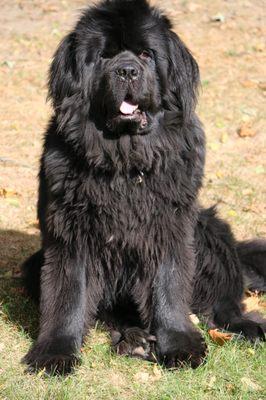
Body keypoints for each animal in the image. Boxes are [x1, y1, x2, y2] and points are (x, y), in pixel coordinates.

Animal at [21, 0, 264, 376]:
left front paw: (179, 344)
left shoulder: (170, 226)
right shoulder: (69, 233)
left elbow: (169, 284)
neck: (125, 160)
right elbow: (68, 293)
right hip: (35, 263)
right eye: (104, 56)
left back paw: (245, 326)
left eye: (147, 54)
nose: (126, 71)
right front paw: (54, 353)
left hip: (209, 228)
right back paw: (133, 338)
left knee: (224, 303)